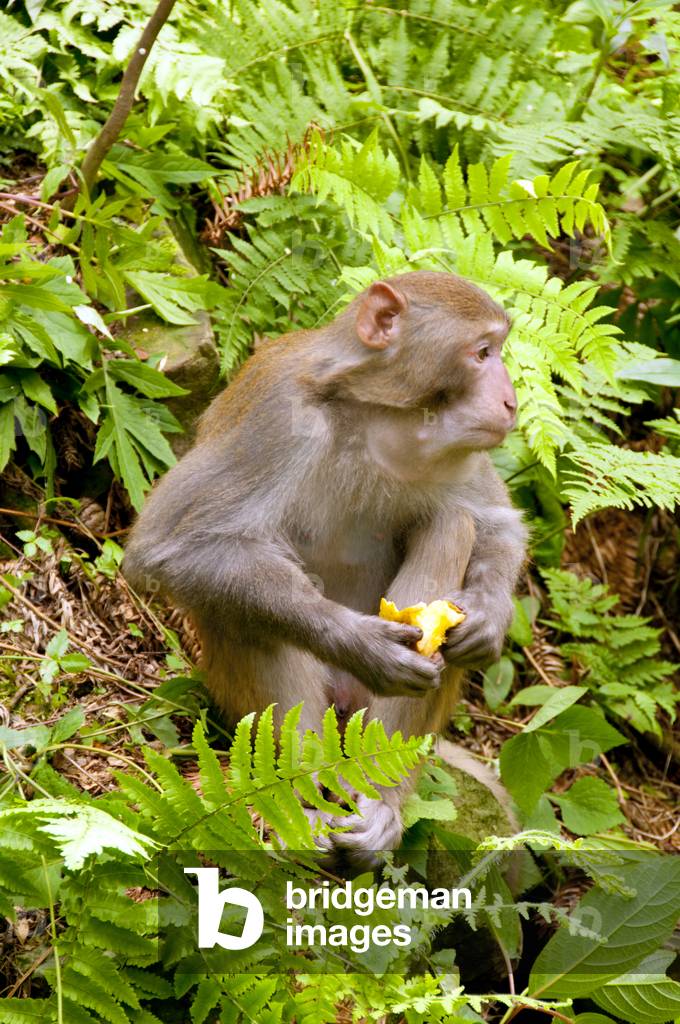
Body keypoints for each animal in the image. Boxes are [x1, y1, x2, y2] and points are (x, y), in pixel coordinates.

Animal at [123, 271, 527, 860]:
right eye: (482, 352)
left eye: (497, 349)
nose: (510, 401)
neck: (379, 412)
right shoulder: (277, 417)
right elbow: (166, 548)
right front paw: (359, 642)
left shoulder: (460, 450)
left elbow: (498, 523)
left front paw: (488, 618)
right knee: (241, 596)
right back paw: (298, 801)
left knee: (451, 522)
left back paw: (379, 801)